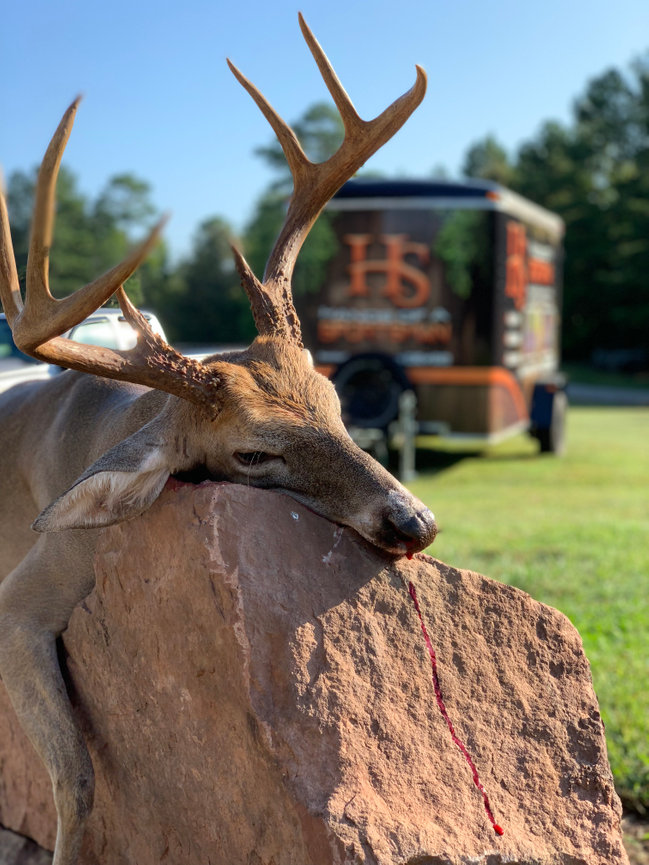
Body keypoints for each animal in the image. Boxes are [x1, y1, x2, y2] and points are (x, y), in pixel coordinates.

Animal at [0, 15, 435, 865]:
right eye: (252, 455)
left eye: (335, 402)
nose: (412, 520)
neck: (110, 420)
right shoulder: (22, 589)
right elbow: (76, 777)